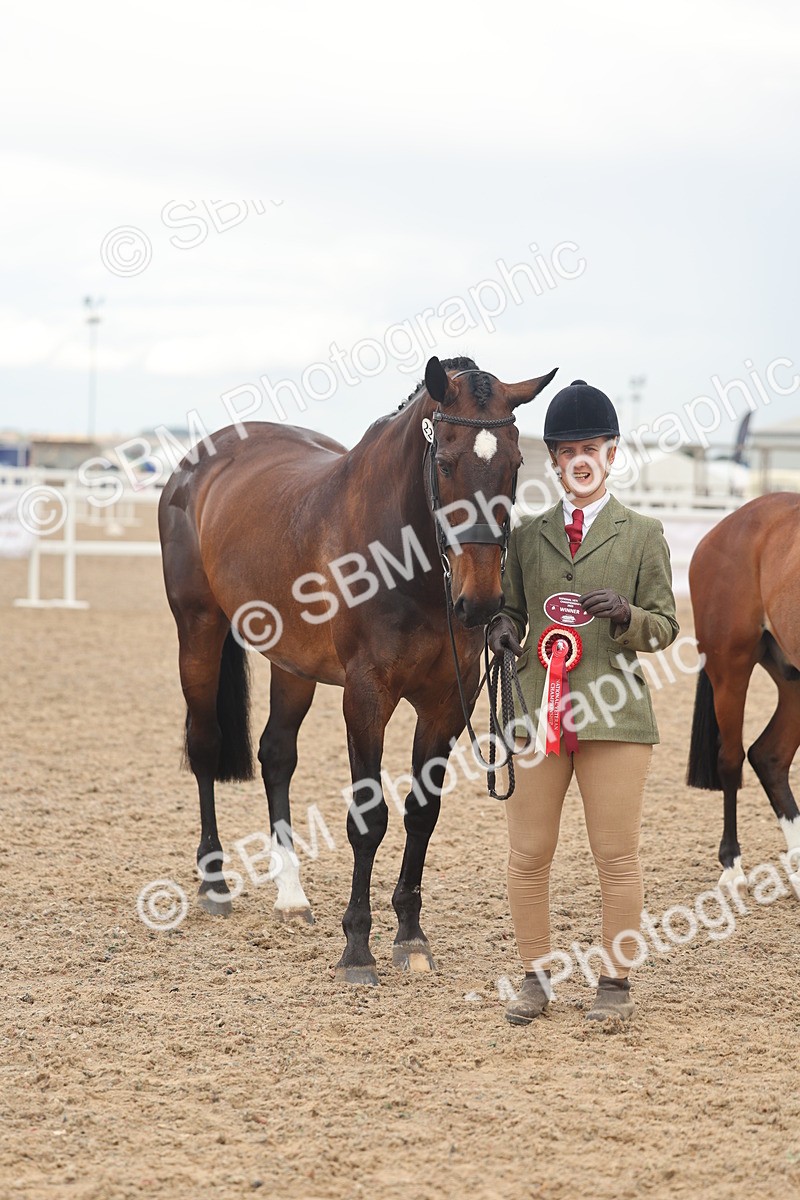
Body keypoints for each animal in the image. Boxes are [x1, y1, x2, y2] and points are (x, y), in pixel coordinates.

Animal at [158, 355, 557, 985]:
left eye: (516, 466)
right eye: (445, 463)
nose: (480, 603)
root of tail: (201, 459)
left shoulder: (448, 703)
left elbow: (422, 814)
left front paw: (411, 936)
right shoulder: (366, 697)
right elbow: (368, 819)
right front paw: (357, 947)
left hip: (292, 664)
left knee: (277, 755)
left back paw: (291, 895)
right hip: (198, 629)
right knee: (204, 743)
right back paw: (214, 881)